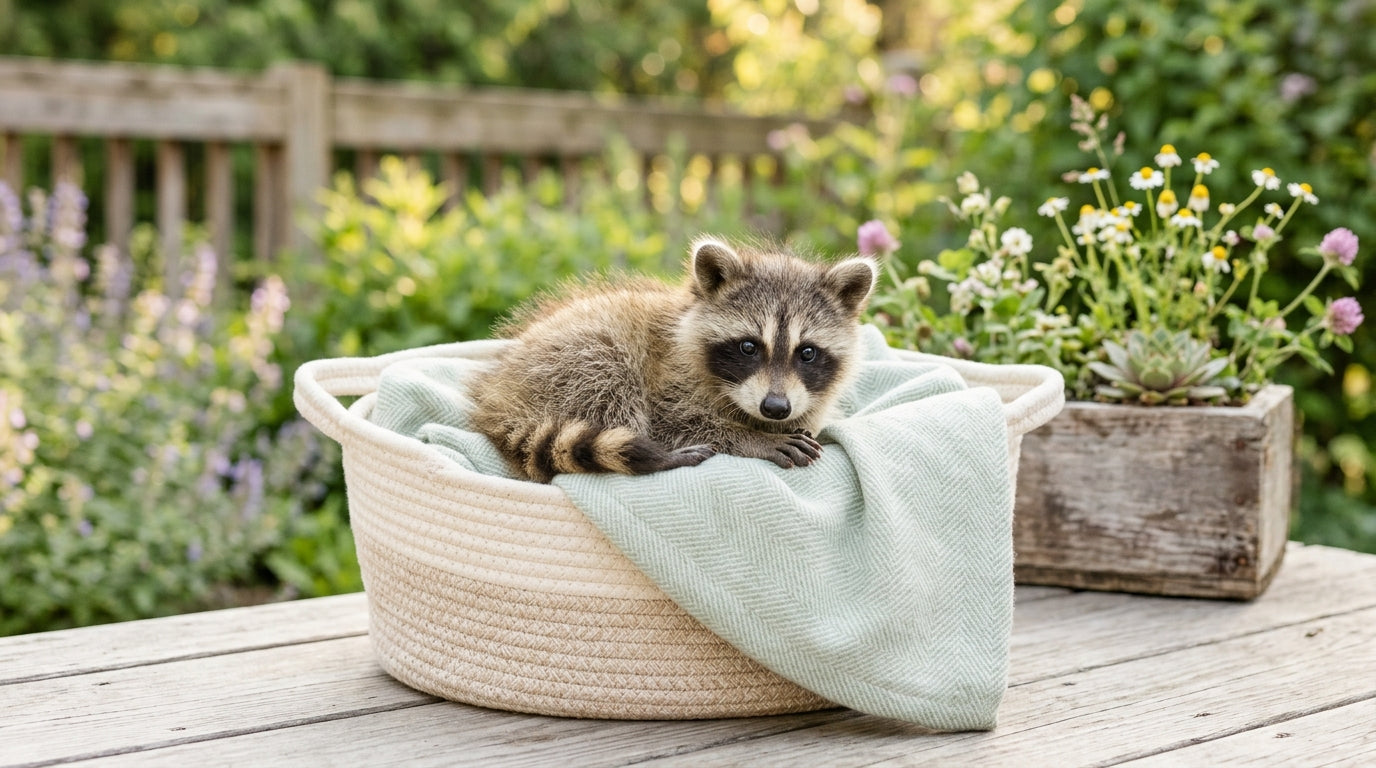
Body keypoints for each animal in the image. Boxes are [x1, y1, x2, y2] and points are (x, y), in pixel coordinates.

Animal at [469, 236, 878, 483]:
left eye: (807, 352)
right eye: (748, 347)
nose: (775, 408)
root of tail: (498, 393)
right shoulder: (670, 381)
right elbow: (674, 423)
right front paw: (749, 438)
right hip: (578, 359)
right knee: (610, 390)